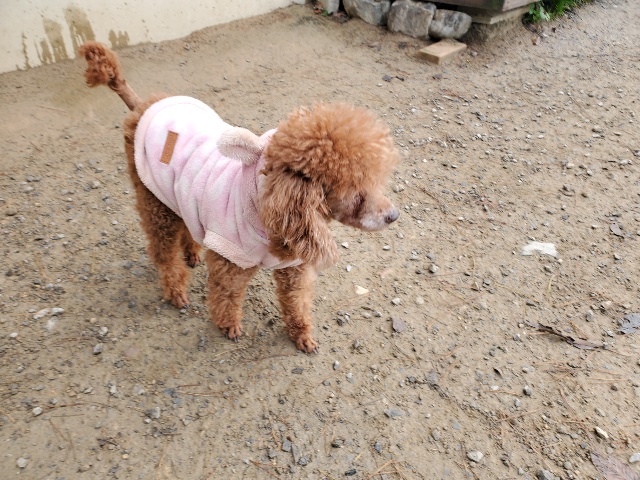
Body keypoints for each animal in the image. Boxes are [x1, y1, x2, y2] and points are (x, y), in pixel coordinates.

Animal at [79, 41, 399, 353]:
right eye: (356, 191)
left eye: (376, 181)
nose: (393, 215)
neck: (266, 204)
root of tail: (143, 106)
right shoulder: (229, 260)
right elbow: (227, 295)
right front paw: (228, 326)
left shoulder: (293, 267)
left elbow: (296, 301)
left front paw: (302, 335)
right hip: (153, 197)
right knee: (163, 250)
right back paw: (175, 290)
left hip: (177, 194)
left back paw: (192, 252)